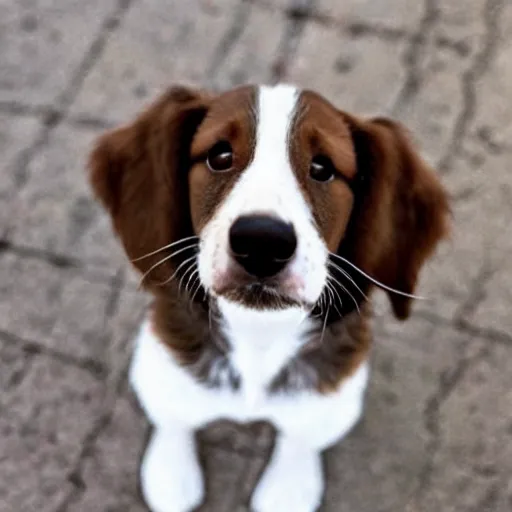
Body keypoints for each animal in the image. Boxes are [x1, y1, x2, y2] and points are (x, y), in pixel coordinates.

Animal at [90, 85, 450, 512]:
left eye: (323, 168)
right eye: (220, 156)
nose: (262, 242)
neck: (258, 333)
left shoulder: (332, 391)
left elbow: (303, 434)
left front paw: (289, 487)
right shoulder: (164, 357)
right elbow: (173, 412)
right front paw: (171, 472)